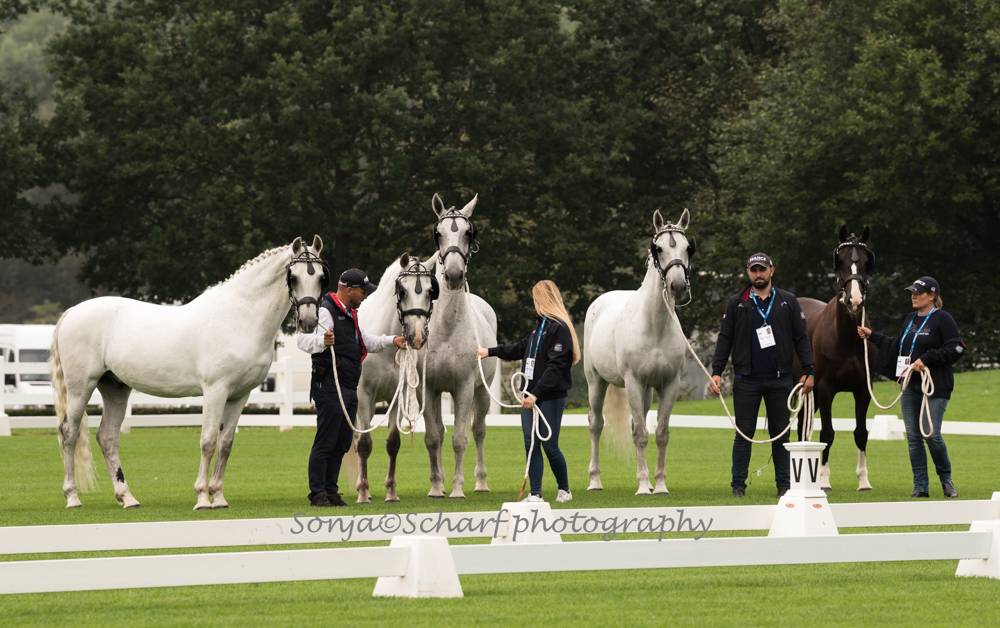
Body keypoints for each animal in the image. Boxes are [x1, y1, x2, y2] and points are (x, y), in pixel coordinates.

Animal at [51, 236, 328, 510]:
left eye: (321, 277)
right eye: (293, 277)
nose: (308, 322)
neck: (238, 317)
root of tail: (71, 312)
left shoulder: (240, 395)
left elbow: (225, 443)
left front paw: (219, 497)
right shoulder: (215, 391)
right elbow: (208, 441)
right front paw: (203, 498)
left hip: (115, 388)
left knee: (107, 437)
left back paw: (127, 498)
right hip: (81, 387)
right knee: (69, 433)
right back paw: (72, 497)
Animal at [358, 253, 440, 502]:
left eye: (430, 291)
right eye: (402, 291)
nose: (417, 337)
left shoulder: (397, 395)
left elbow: (393, 442)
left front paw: (391, 492)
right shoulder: (363, 395)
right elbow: (364, 443)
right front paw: (363, 492)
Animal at [584, 211, 696, 496]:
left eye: (687, 247)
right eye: (659, 248)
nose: (678, 287)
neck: (655, 325)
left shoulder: (669, 384)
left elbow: (660, 433)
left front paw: (660, 485)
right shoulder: (633, 382)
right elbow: (641, 436)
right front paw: (644, 487)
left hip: (645, 391)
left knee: (639, 422)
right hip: (596, 383)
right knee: (596, 424)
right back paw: (595, 481)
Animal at [792, 226, 880, 490]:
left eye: (866, 261)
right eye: (839, 261)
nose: (855, 300)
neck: (847, 338)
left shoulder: (863, 390)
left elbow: (861, 433)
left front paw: (863, 480)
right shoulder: (825, 388)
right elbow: (827, 433)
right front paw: (823, 480)